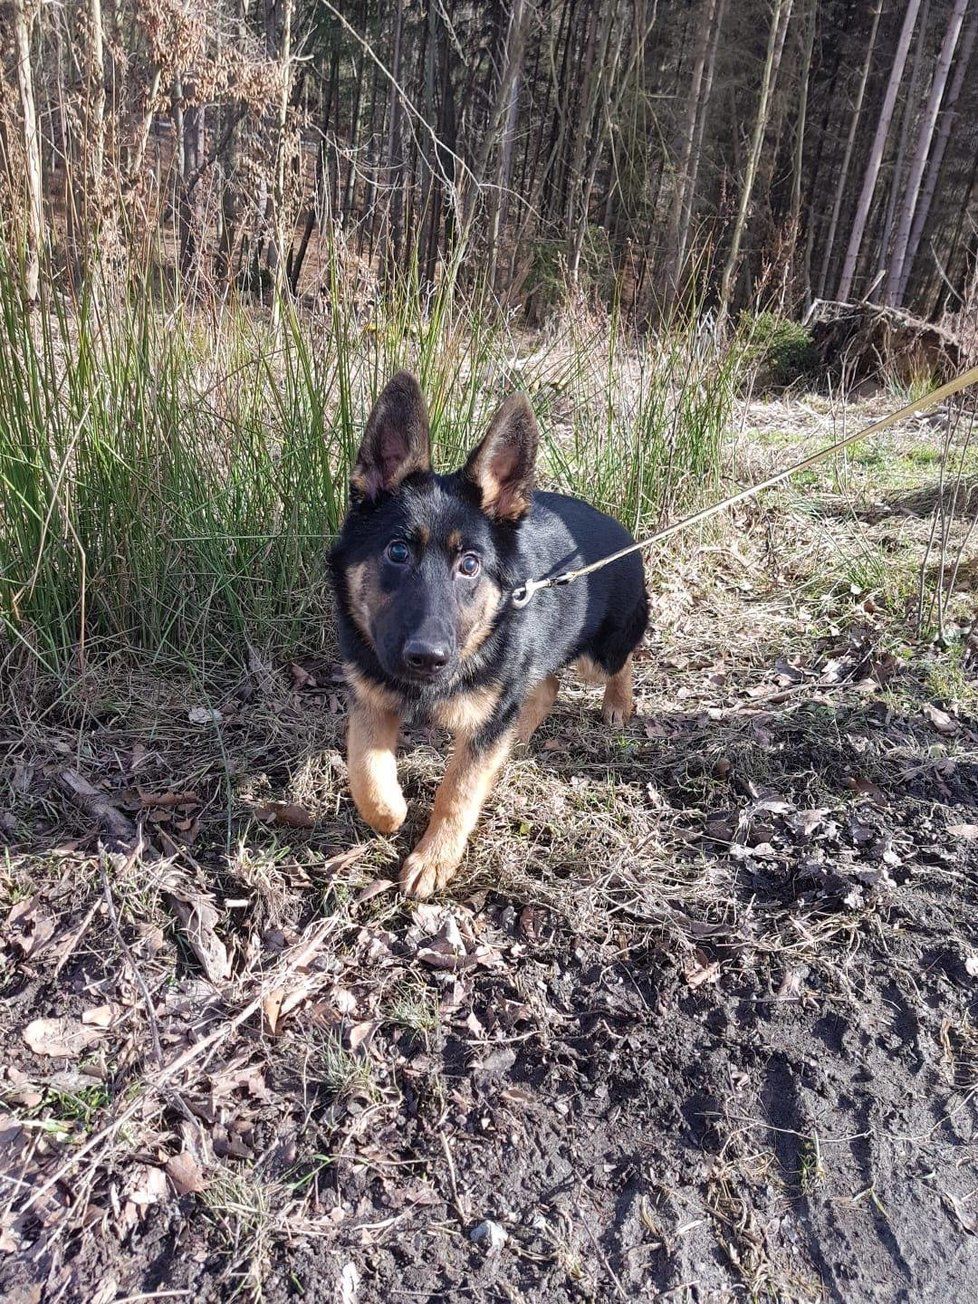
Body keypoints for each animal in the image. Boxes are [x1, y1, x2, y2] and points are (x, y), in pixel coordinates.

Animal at [331, 367, 652, 897]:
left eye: (470, 564)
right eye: (397, 551)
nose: (427, 658)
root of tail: (621, 529)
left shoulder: (485, 719)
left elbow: (458, 790)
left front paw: (434, 858)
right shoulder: (372, 698)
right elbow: (366, 770)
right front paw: (390, 813)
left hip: (596, 652)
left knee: (620, 661)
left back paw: (617, 704)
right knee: (545, 687)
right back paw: (519, 738)